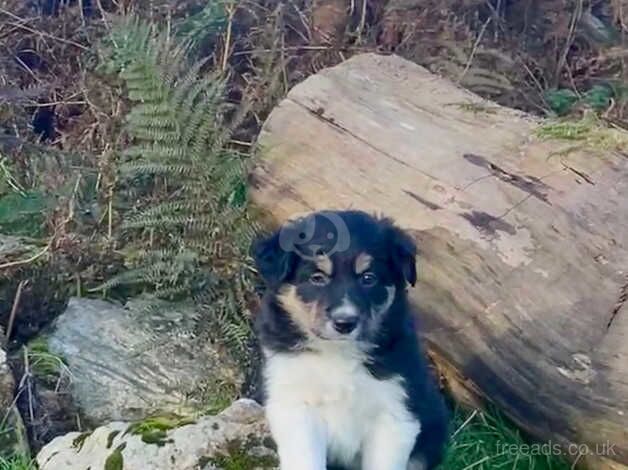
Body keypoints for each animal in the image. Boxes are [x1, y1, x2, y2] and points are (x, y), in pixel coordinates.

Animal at [253, 210, 448, 470]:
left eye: (368, 278)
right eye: (317, 278)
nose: (345, 323)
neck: (338, 353)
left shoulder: (396, 412)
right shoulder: (296, 405)